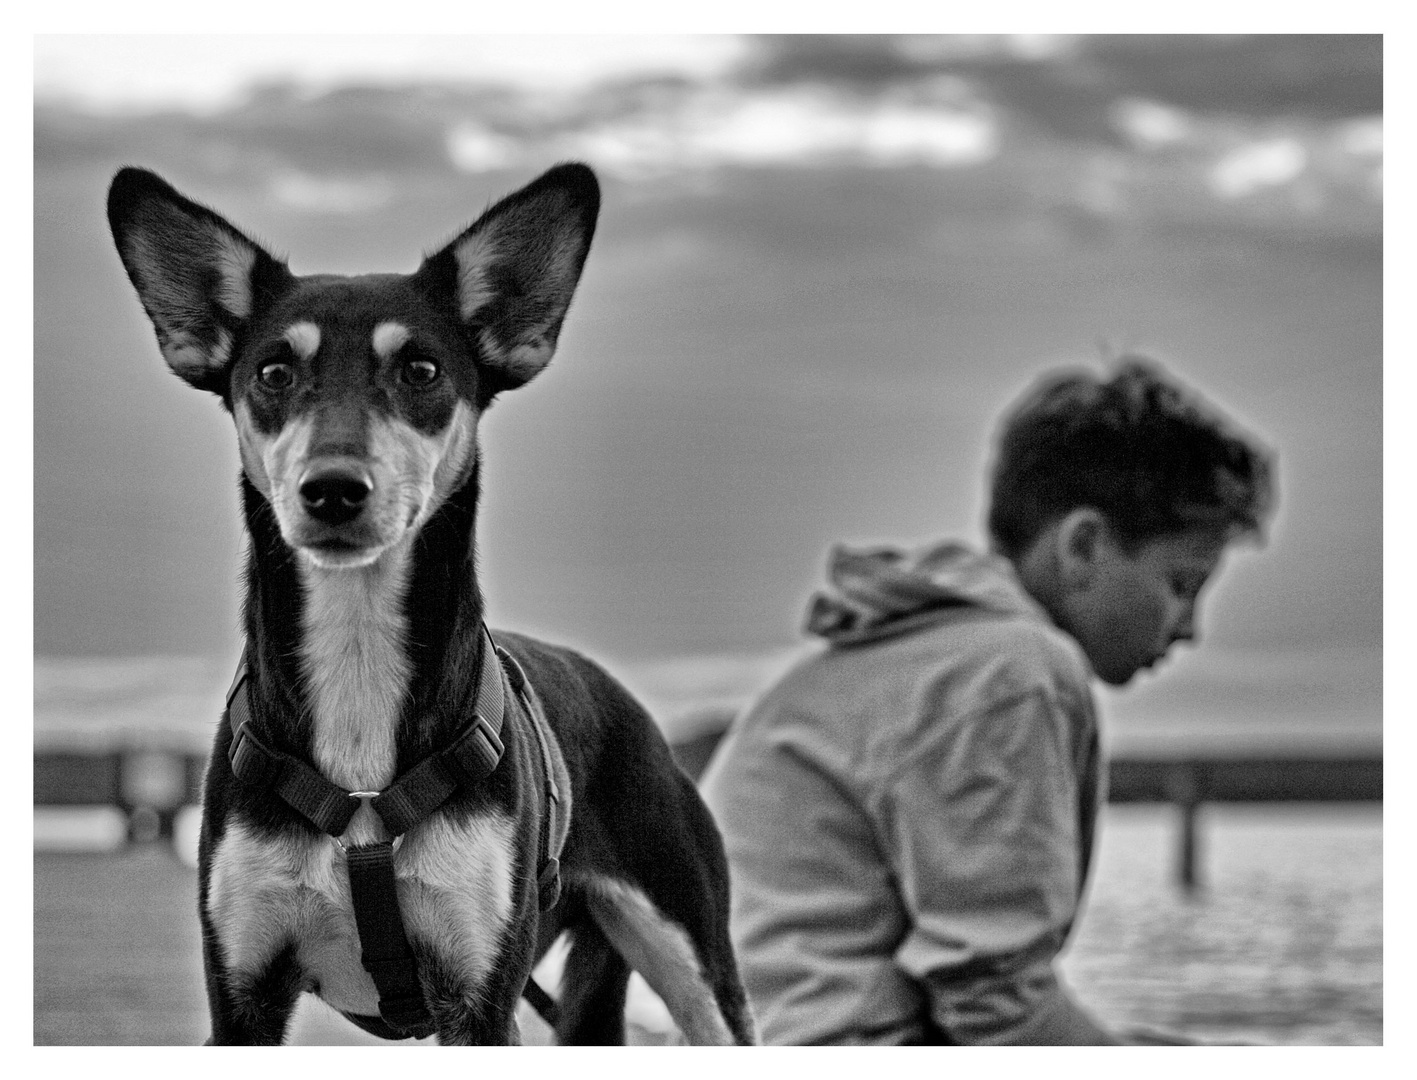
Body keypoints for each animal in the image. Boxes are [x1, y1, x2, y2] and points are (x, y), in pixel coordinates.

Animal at [110, 162, 759, 1043]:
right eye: (273, 372)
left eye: (420, 371)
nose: (333, 489)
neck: (357, 651)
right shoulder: (242, 995)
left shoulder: (479, 998)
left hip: (691, 953)